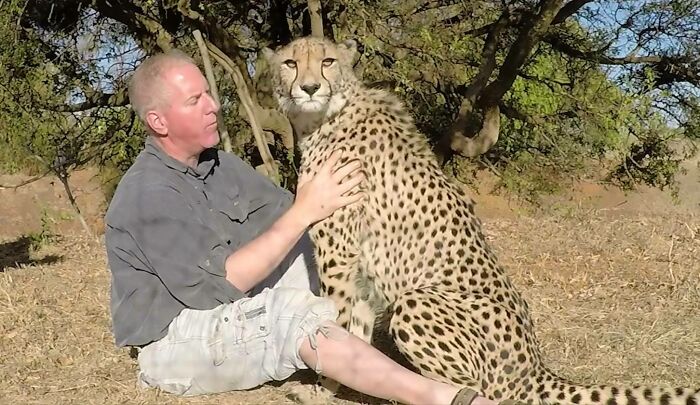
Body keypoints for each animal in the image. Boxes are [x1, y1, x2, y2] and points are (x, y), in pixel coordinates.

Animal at [263, 36, 700, 405]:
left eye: (327, 62)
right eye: (290, 63)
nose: (309, 88)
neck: (327, 116)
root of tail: (535, 366)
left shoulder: (338, 252)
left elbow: (333, 324)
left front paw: (321, 390)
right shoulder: (364, 273)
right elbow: (355, 332)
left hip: (418, 302)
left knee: (474, 388)